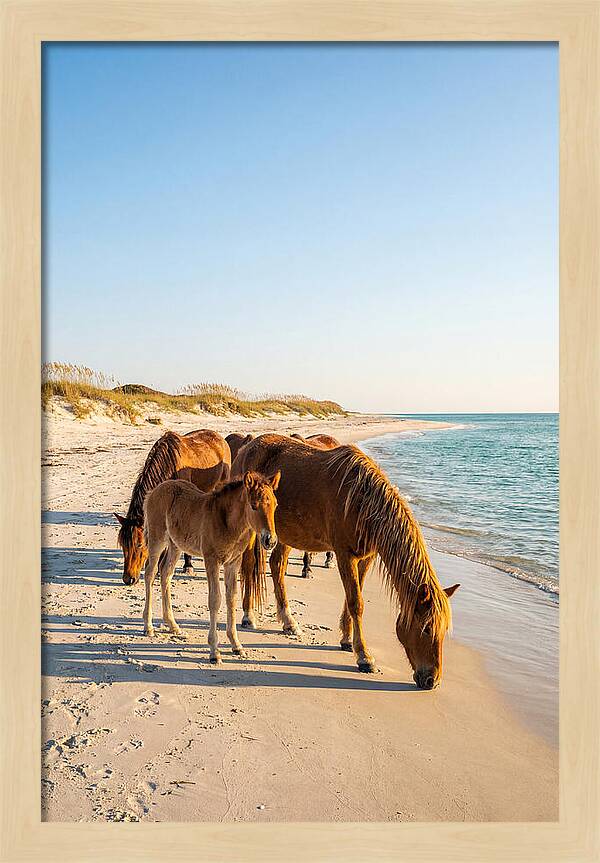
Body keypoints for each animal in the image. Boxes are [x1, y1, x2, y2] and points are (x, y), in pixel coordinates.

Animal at [114, 429, 231, 585]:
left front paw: (188, 566)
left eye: (139, 544)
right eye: (123, 544)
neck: (169, 466)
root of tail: (219, 438)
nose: (128, 579)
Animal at [142, 471, 280, 662]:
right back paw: (148, 626)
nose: (270, 540)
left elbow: (231, 598)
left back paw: (173, 625)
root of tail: (154, 491)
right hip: (157, 539)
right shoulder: (211, 560)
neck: (228, 523)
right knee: (150, 572)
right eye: (253, 506)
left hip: (175, 545)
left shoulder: (233, 563)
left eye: (275, 505)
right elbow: (215, 600)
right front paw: (214, 651)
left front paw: (236, 645)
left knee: (165, 573)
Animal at [233, 434, 460, 688]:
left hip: (286, 534)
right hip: (253, 531)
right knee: (249, 567)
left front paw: (346, 640)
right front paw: (364, 657)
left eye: (443, 630)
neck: (362, 501)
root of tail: (247, 447)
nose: (432, 680)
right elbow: (356, 603)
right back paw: (248, 616)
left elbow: (352, 597)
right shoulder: (344, 554)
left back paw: (289, 622)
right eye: (427, 628)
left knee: (277, 565)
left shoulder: (366, 557)